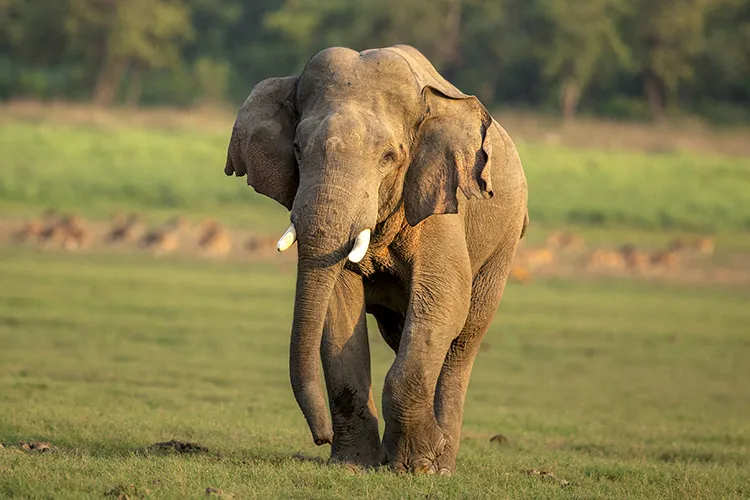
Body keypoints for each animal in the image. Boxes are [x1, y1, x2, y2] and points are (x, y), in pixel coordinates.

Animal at [223, 45, 528, 474]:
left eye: (388, 156)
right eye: (297, 149)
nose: (321, 437)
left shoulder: (437, 199)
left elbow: (443, 302)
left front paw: (418, 466)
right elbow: (339, 308)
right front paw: (354, 465)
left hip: (505, 241)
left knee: (463, 339)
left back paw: (443, 462)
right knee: (402, 333)